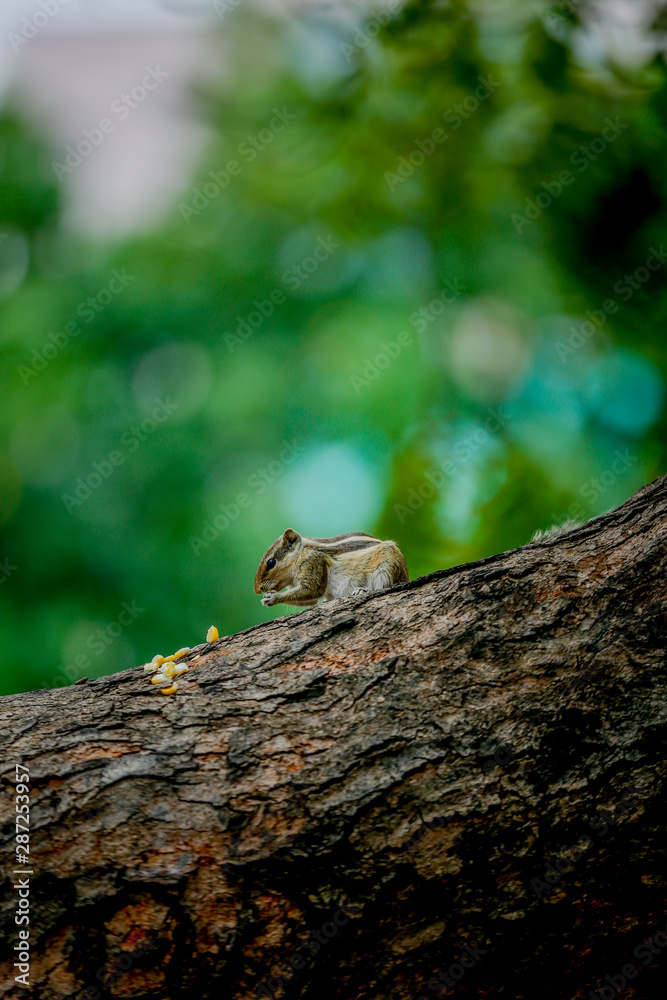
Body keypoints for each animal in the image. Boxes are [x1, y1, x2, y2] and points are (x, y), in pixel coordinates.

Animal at [254, 528, 409, 607]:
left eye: (271, 562)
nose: (257, 590)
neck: (301, 553)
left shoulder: (314, 562)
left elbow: (312, 590)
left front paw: (273, 597)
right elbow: (310, 600)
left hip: (388, 563)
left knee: (384, 585)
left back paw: (362, 590)